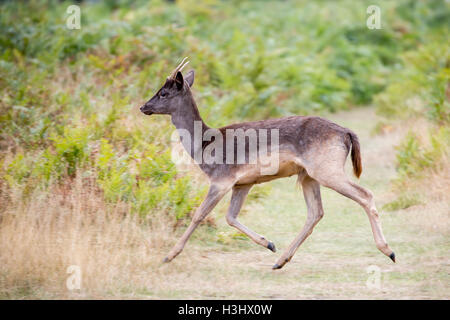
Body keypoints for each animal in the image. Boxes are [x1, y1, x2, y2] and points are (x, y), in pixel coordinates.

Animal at [140, 58, 394, 270]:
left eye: (163, 93)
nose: (143, 107)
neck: (204, 146)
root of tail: (347, 133)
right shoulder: (242, 183)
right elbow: (230, 217)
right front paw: (269, 243)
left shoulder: (221, 178)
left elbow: (199, 214)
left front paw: (169, 255)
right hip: (309, 175)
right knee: (316, 212)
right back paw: (280, 260)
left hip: (326, 168)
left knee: (365, 194)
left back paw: (389, 251)